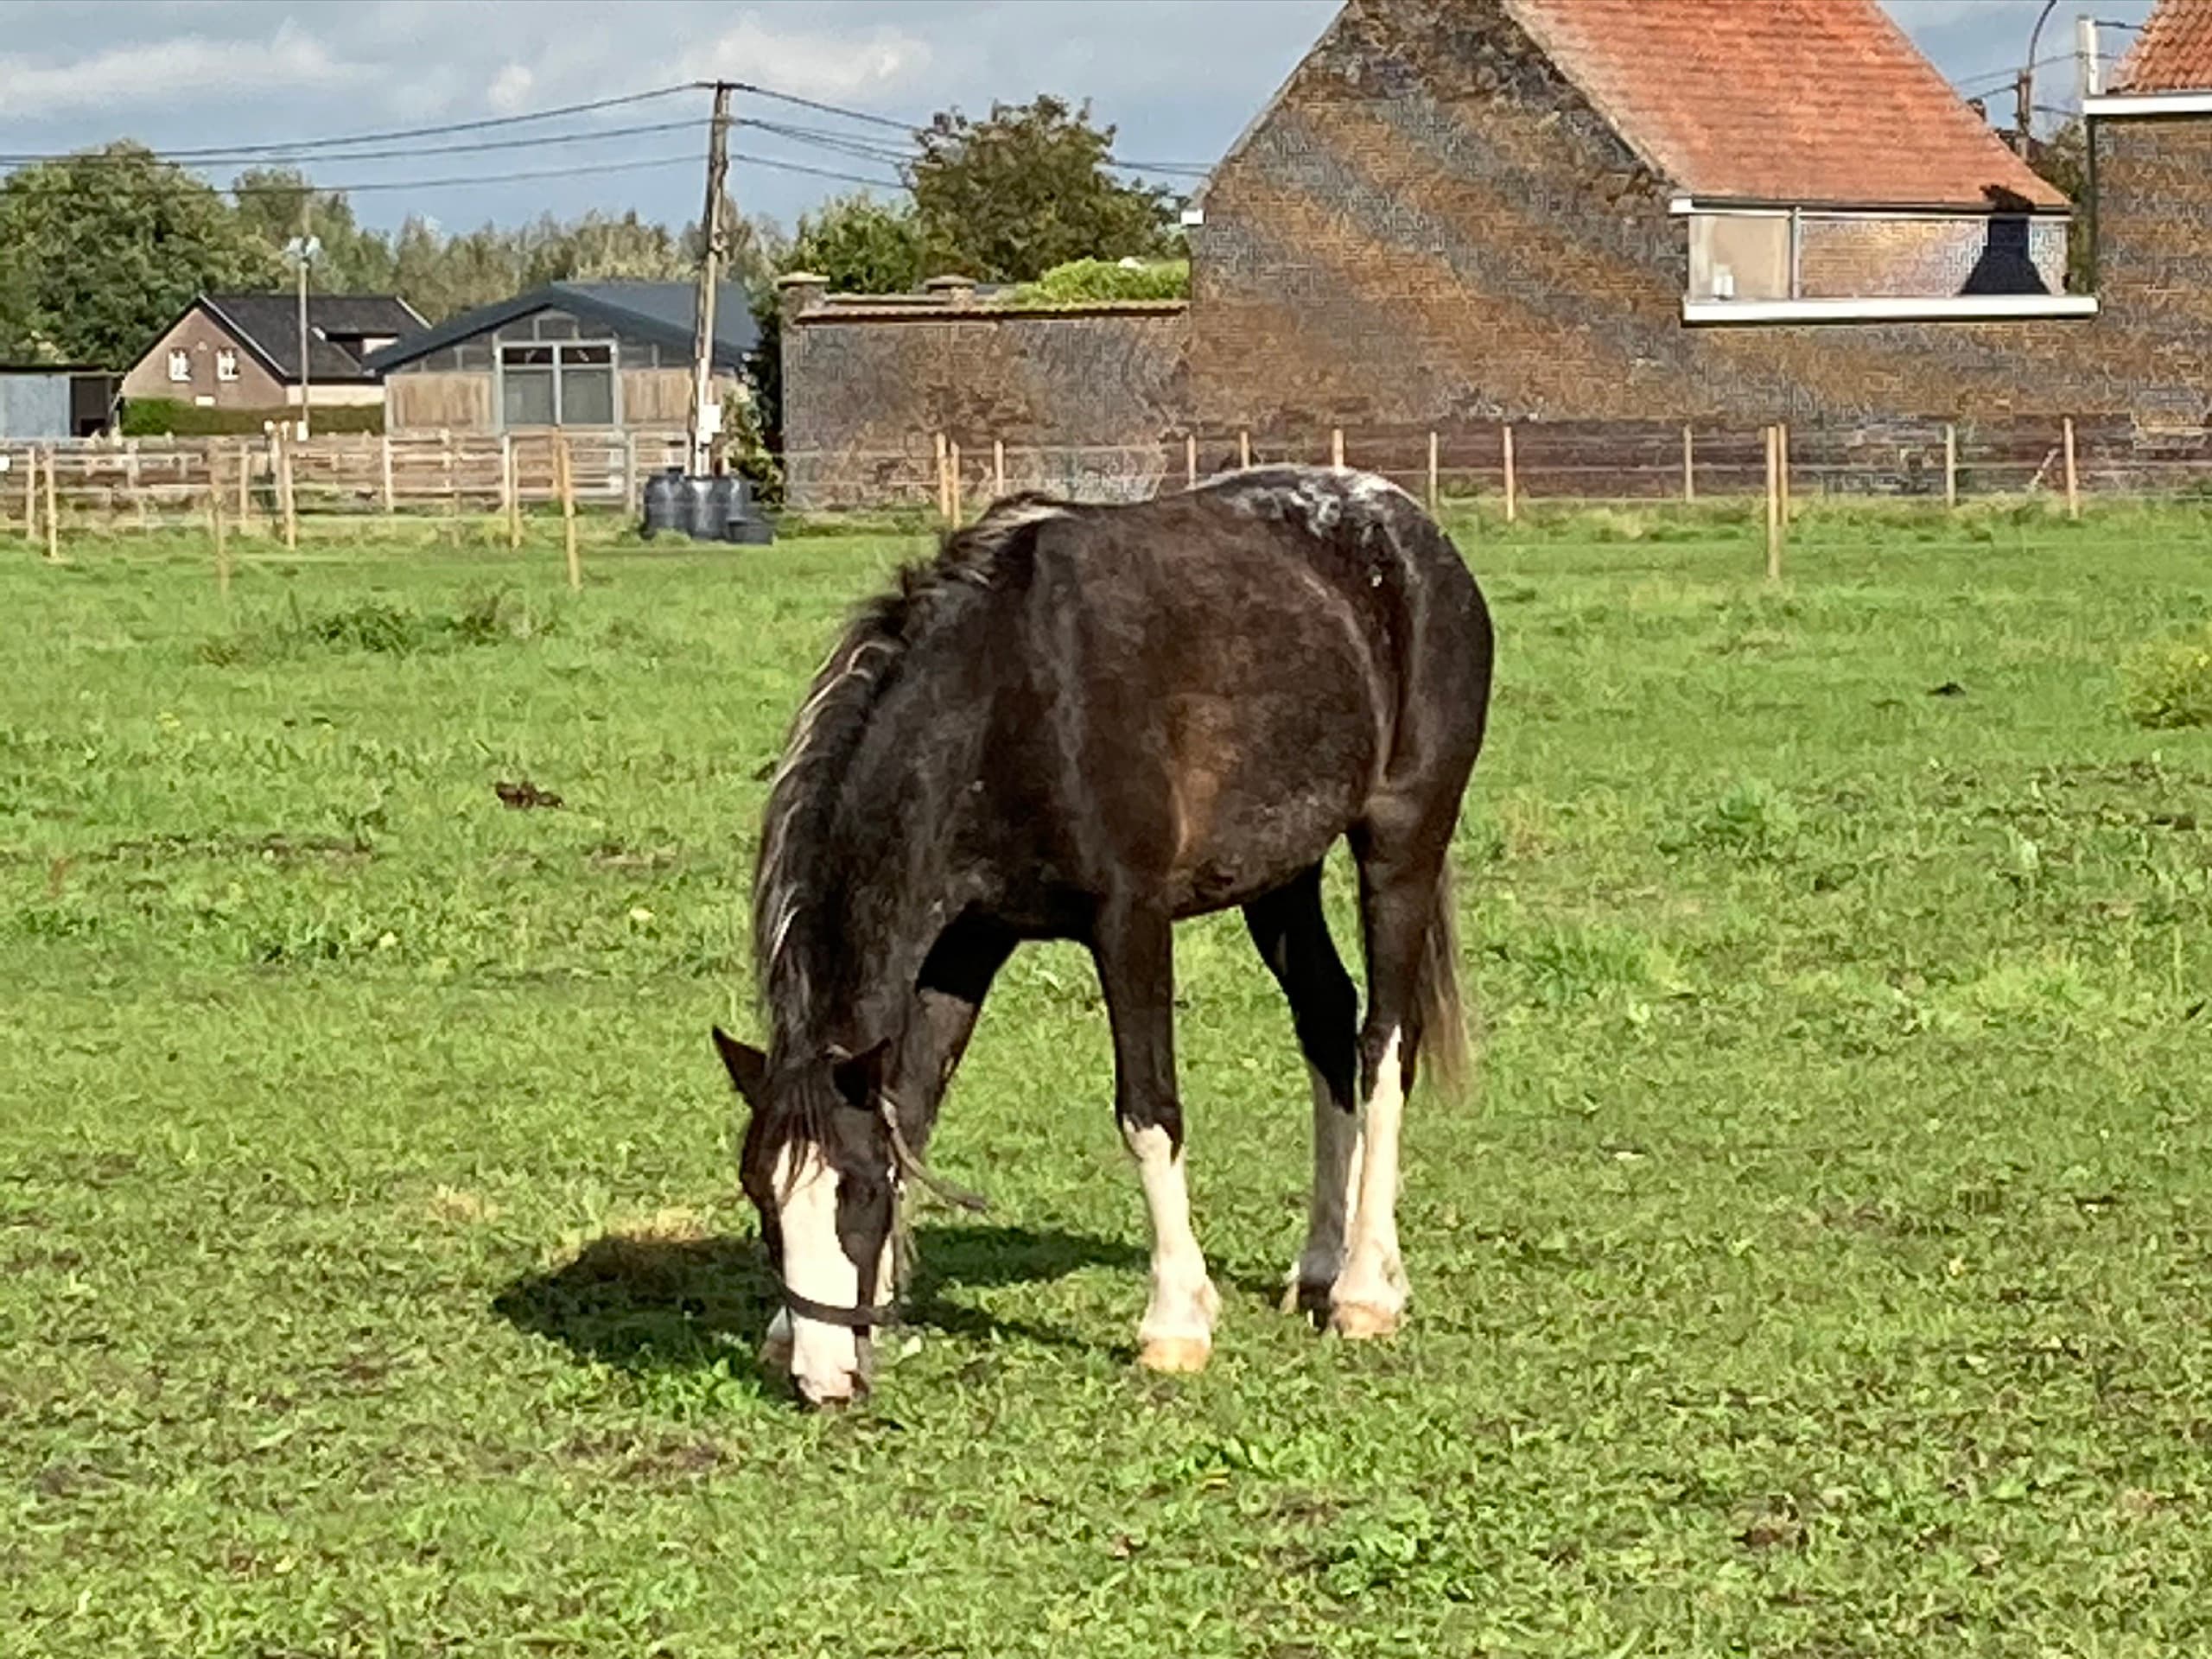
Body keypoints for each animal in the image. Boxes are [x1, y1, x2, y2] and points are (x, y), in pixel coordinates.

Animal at [712, 465, 1494, 1405]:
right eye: (762, 1196)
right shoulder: (964, 946)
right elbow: (913, 1108)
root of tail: (1411, 528)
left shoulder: (1129, 921)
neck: (1005, 694)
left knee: (1384, 1043)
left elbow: (1148, 1113)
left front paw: (1176, 1321)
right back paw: (1316, 1267)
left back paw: (1365, 1289)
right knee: (1325, 1016)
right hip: (1281, 873)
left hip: (1403, 842)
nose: (825, 1380)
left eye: (858, 1192)